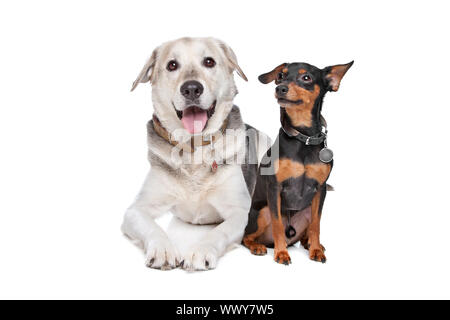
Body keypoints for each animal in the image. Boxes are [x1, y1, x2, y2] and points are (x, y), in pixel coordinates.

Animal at [243, 61, 352, 264]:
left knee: (305, 233)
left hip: (308, 209)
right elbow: (277, 224)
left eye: (306, 77)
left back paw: (311, 244)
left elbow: (317, 225)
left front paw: (316, 250)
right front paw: (281, 253)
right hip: (262, 211)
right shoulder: (275, 188)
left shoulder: (320, 189)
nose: (280, 88)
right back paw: (258, 246)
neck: (303, 137)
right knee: (246, 236)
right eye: (280, 76)